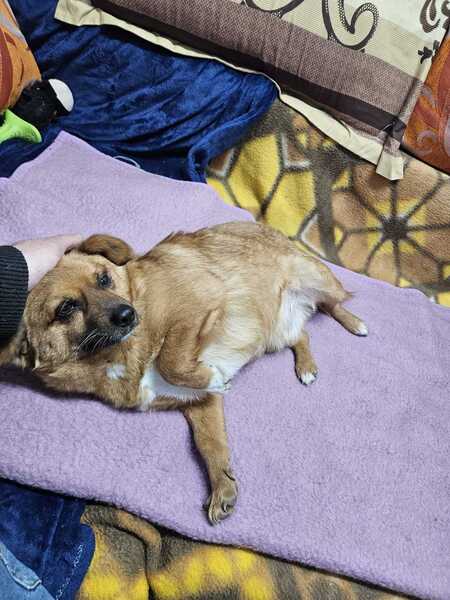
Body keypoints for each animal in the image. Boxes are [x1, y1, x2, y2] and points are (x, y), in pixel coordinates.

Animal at [0, 221, 367, 523]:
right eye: (66, 308)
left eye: (104, 278)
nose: (126, 314)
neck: (114, 356)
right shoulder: (199, 402)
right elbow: (210, 443)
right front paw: (222, 486)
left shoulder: (196, 308)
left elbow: (171, 358)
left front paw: (209, 374)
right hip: (277, 333)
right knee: (303, 333)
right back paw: (306, 365)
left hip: (315, 278)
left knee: (333, 302)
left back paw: (355, 324)